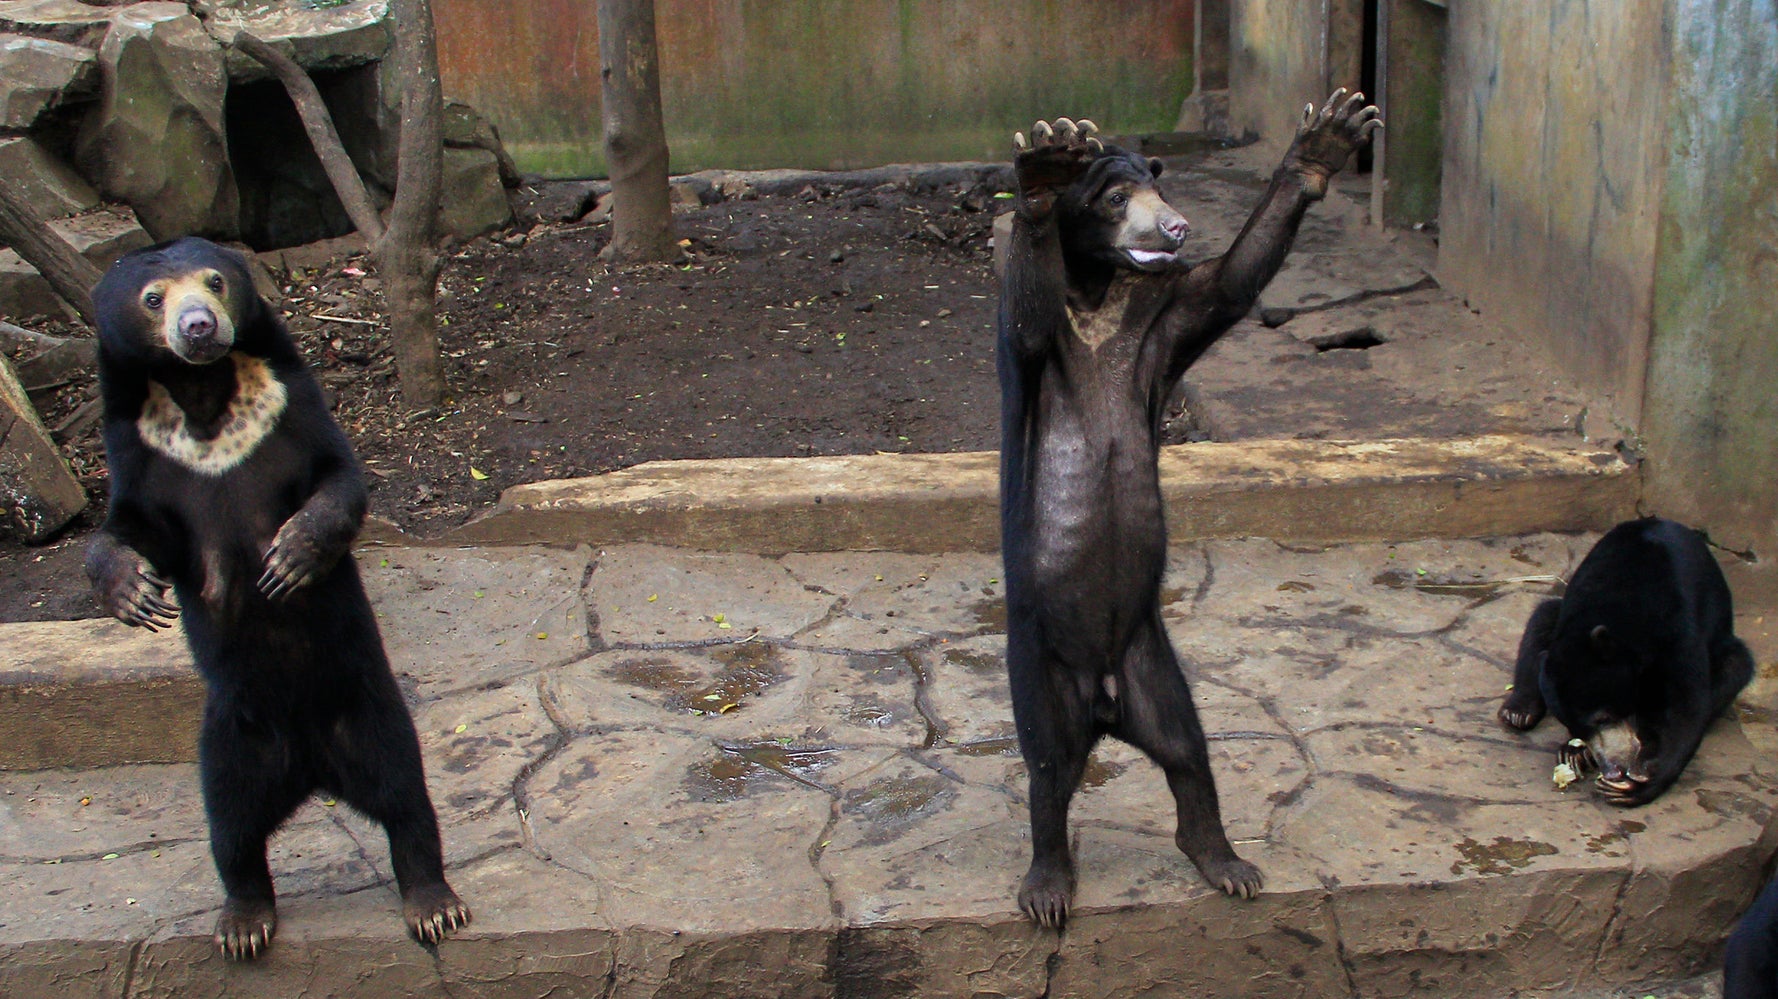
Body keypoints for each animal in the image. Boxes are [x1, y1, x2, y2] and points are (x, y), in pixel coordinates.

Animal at [85, 237, 469, 959]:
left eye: (214, 281)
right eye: (153, 298)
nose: (198, 327)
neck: (205, 396)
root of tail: (313, 770)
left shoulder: (290, 410)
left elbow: (339, 481)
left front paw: (289, 559)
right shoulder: (142, 450)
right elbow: (128, 528)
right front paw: (134, 595)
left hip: (368, 709)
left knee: (405, 796)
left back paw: (432, 903)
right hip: (232, 738)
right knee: (231, 826)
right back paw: (243, 920)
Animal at [997, 91, 1381, 927]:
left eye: (1156, 187)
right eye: (1115, 198)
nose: (1173, 228)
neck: (1100, 293)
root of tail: (1107, 704)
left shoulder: (1165, 319)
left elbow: (1231, 283)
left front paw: (1325, 141)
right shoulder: (1037, 347)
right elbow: (1027, 316)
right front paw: (1043, 165)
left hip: (1150, 657)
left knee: (1186, 746)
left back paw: (1224, 860)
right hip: (1042, 662)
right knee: (1047, 767)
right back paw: (1048, 883)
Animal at [1498, 517, 1753, 806]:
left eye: (1603, 717)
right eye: (1571, 725)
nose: (1612, 769)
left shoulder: (1679, 629)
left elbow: (1687, 705)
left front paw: (1636, 782)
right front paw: (1576, 752)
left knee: (1734, 666)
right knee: (1543, 615)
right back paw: (1519, 711)